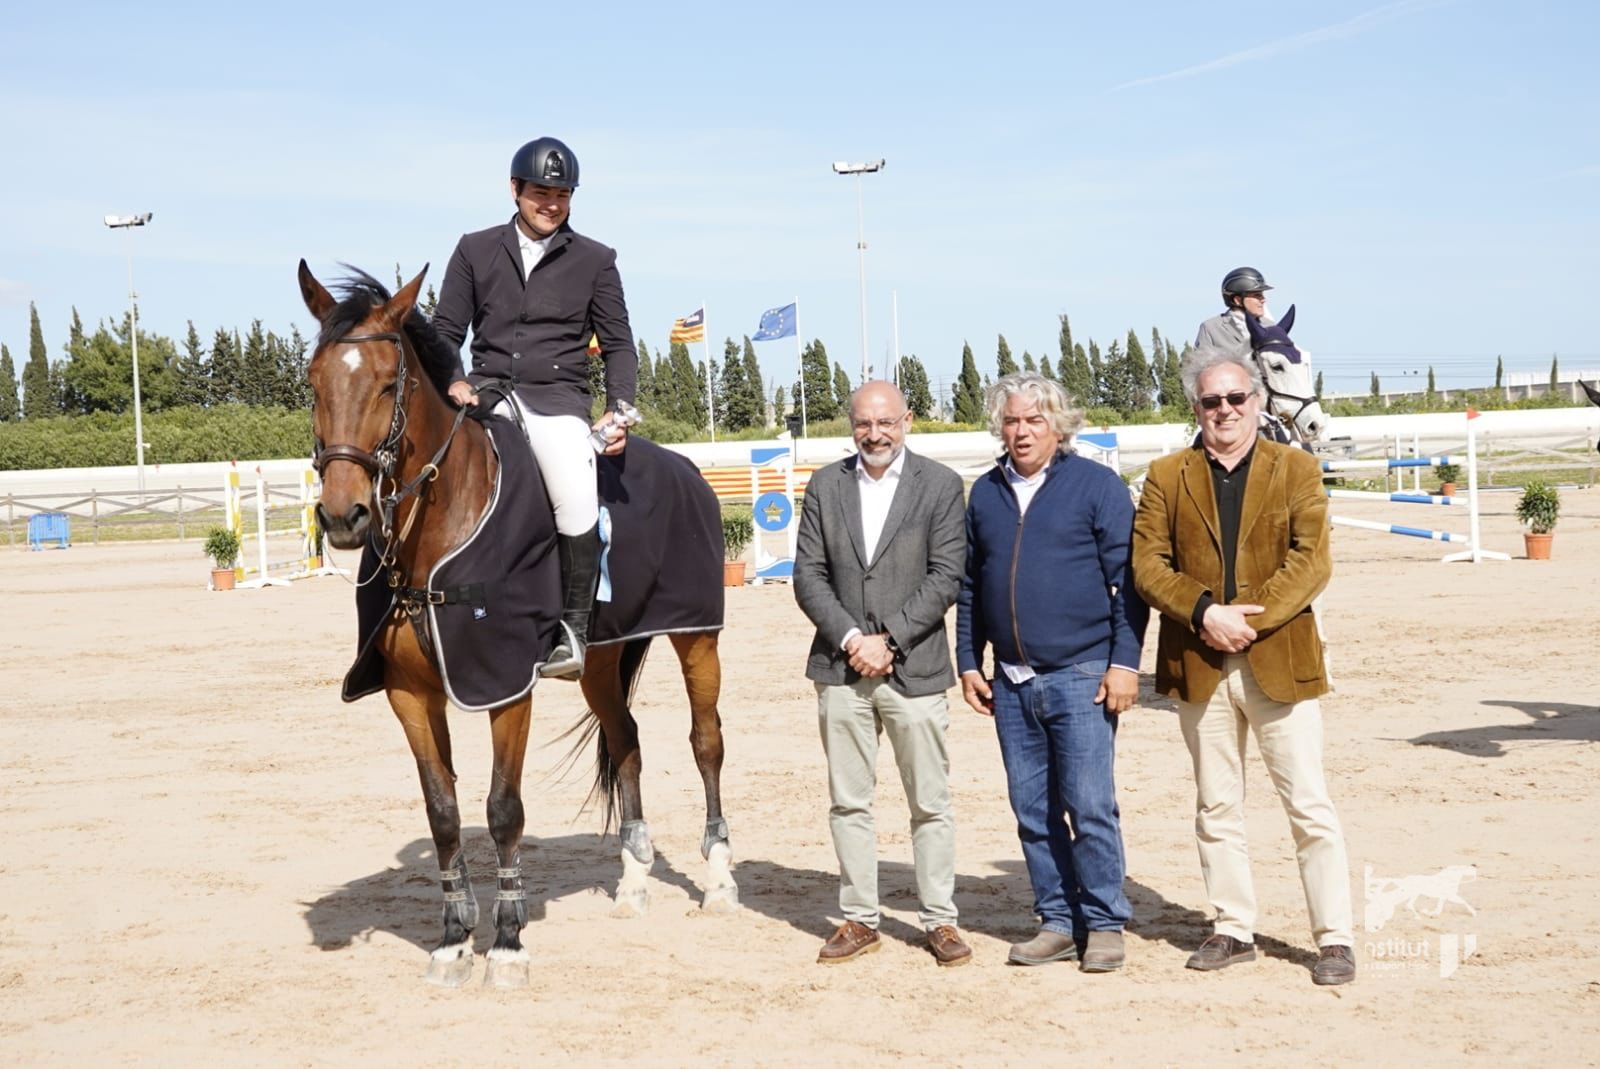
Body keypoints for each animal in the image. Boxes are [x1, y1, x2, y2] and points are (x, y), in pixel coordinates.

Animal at [299, 262, 736, 992]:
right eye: (314, 381)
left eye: (390, 383)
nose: (344, 515)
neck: (437, 532)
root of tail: (686, 469)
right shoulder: (409, 695)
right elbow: (443, 813)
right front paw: (453, 938)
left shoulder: (506, 687)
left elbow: (503, 807)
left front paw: (506, 942)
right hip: (599, 663)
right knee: (627, 743)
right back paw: (634, 880)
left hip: (696, 637)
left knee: (706, 742)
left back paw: (721, 875)